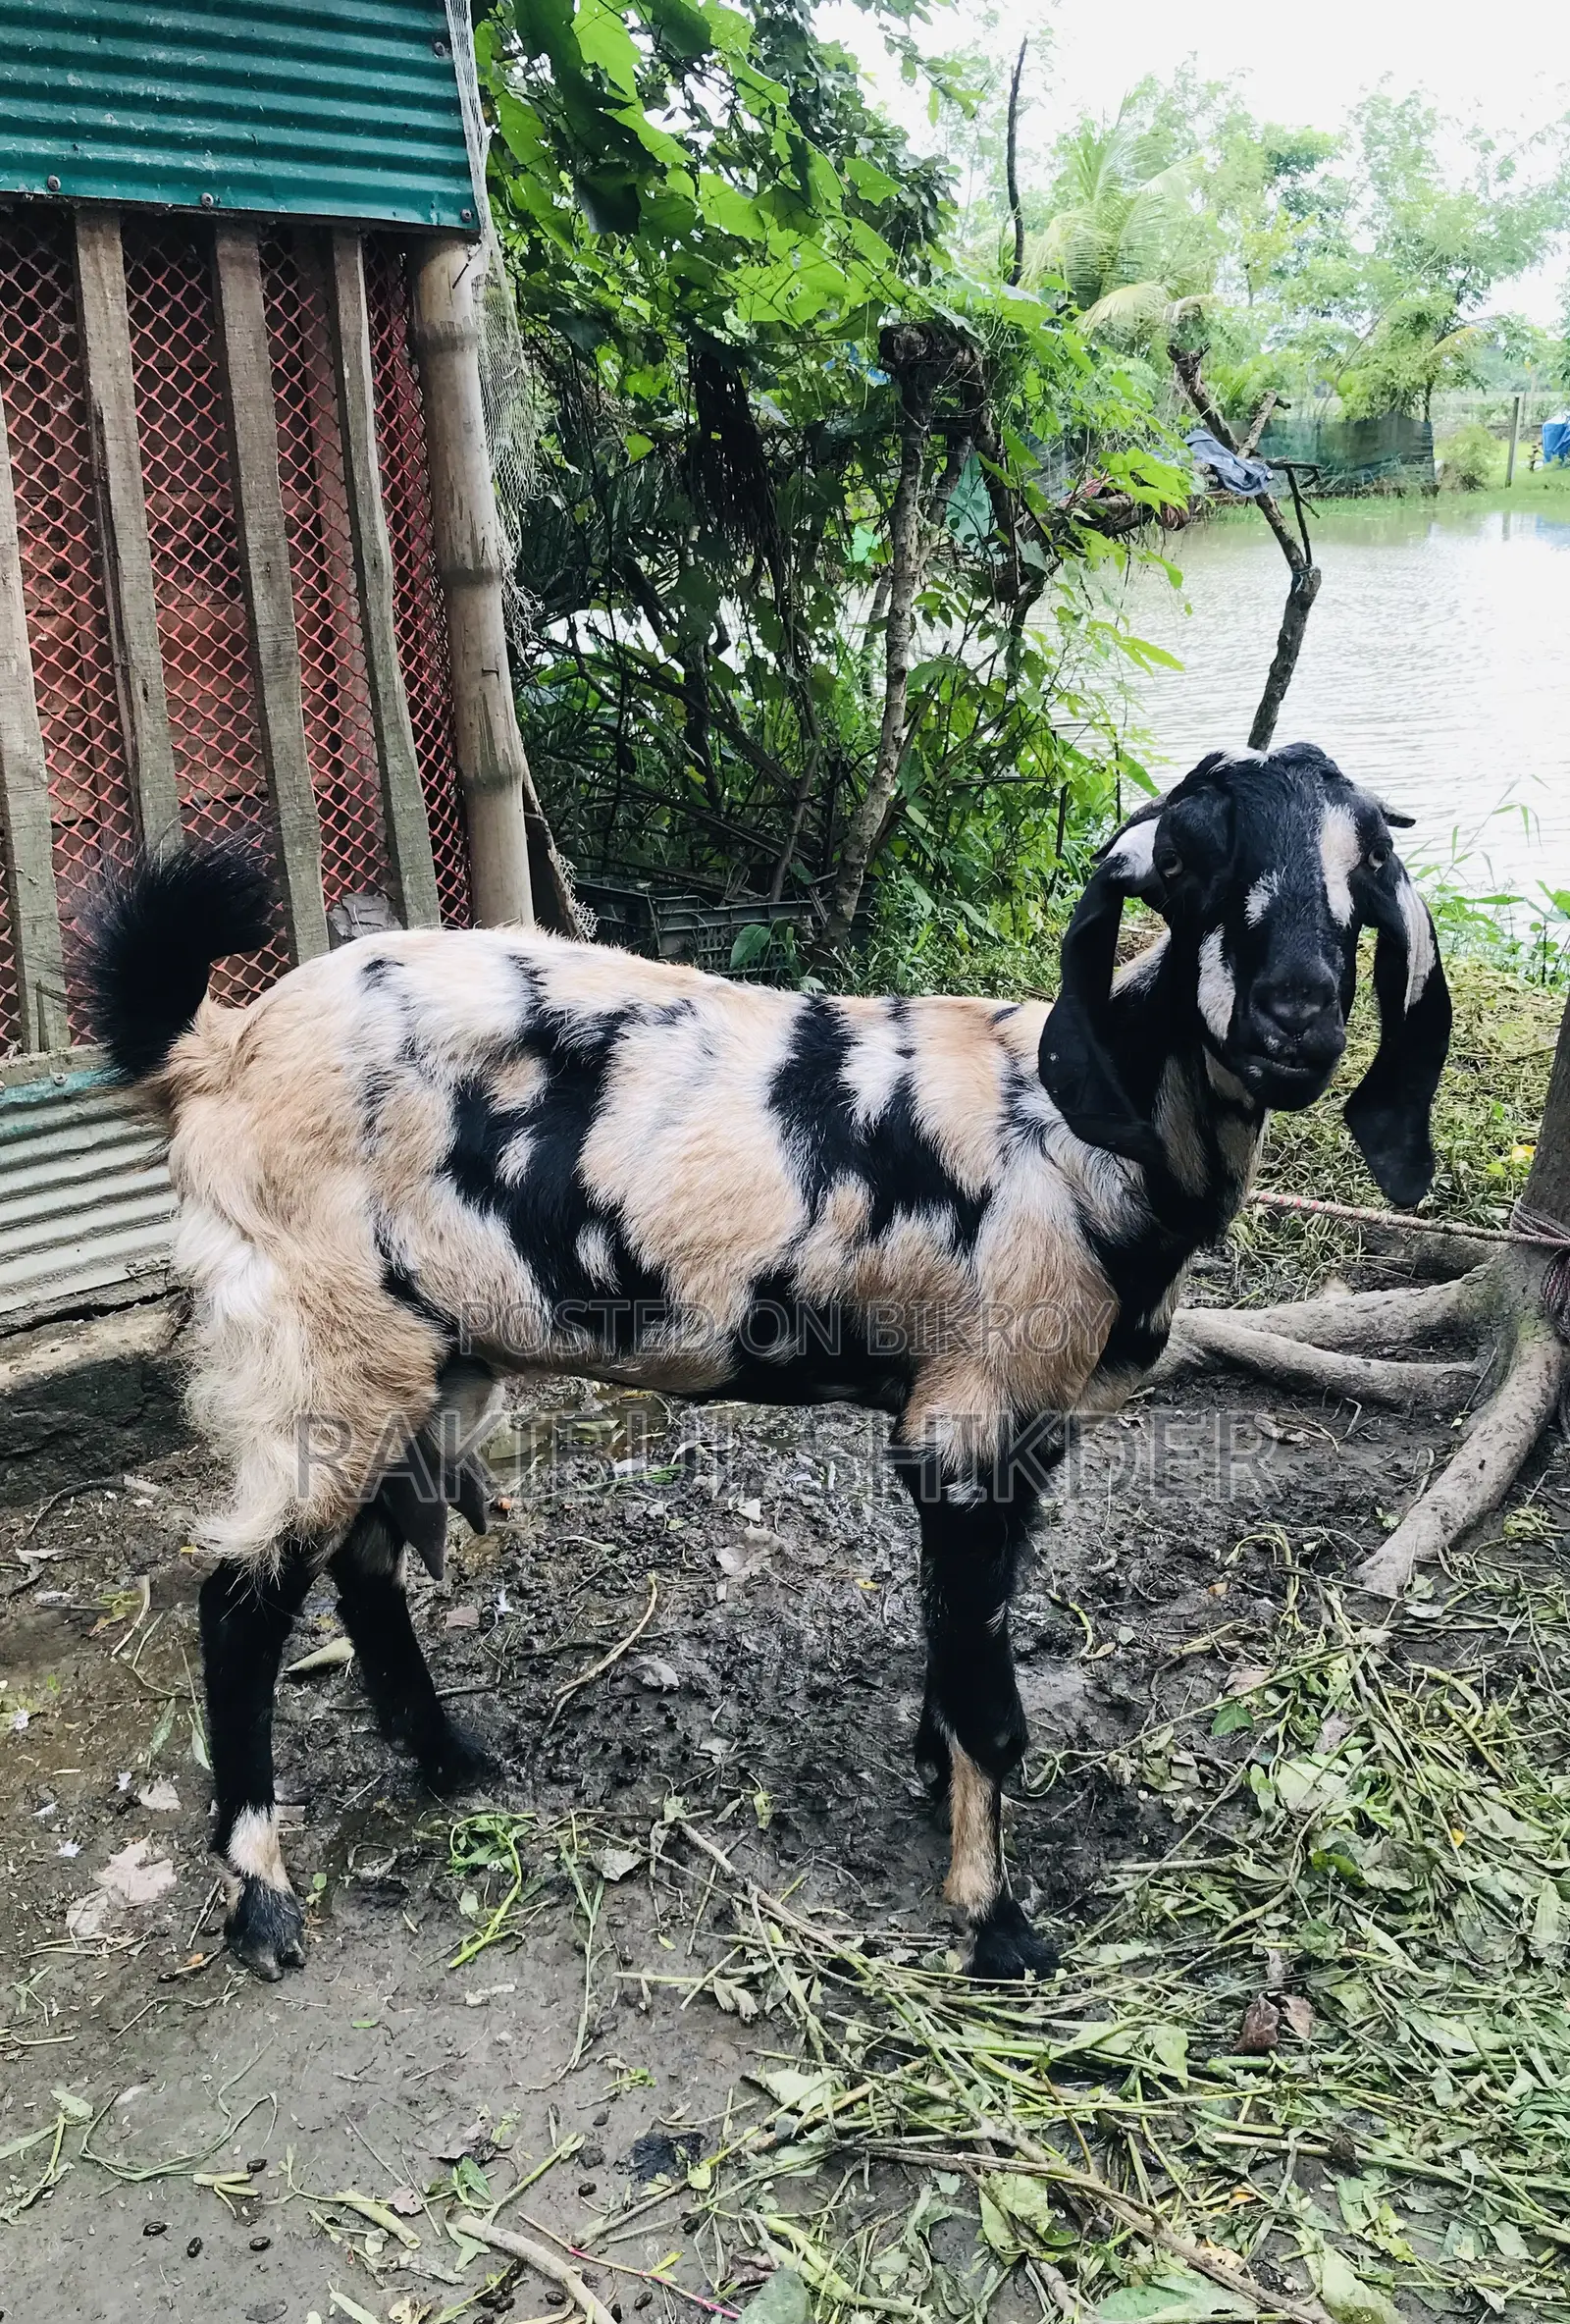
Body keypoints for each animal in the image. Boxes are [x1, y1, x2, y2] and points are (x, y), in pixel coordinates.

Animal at [79, 743, 1450, 1980]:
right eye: (1188, 862)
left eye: (1363, 875)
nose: (1295, 1015)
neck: (1077, 1133)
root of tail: (220, 1049)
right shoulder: (966, 1420)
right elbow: (995, 1703)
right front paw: (995, 1923)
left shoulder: (1019, 1431)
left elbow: (959, 1634)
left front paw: (932, 1781)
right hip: (313, 1344)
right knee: (240, 1597)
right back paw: (261, 1896)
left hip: (419, 1354)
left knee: (361, 1562)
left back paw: (447, 1760)